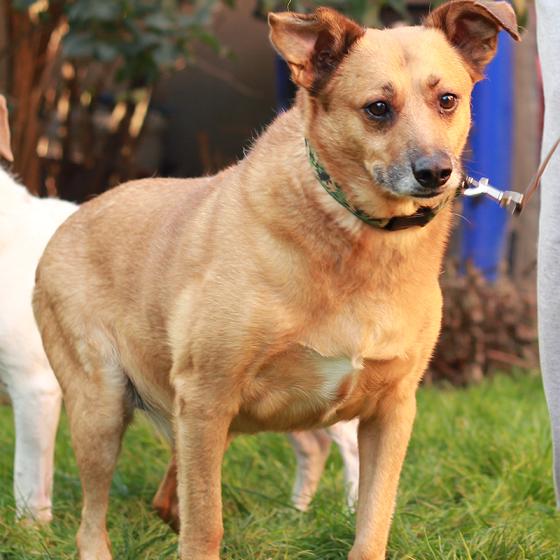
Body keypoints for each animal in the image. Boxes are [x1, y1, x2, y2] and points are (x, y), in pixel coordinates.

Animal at [33, 1, 519, 558]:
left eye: (447, 100)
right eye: (377, 108)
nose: (436, 172)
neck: (358, 241)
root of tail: (71, 218)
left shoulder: (391, 411)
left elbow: (373, 522)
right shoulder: (206, 398)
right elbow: (205, 526)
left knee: (181, 491)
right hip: (105, 407)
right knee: (94, 519)